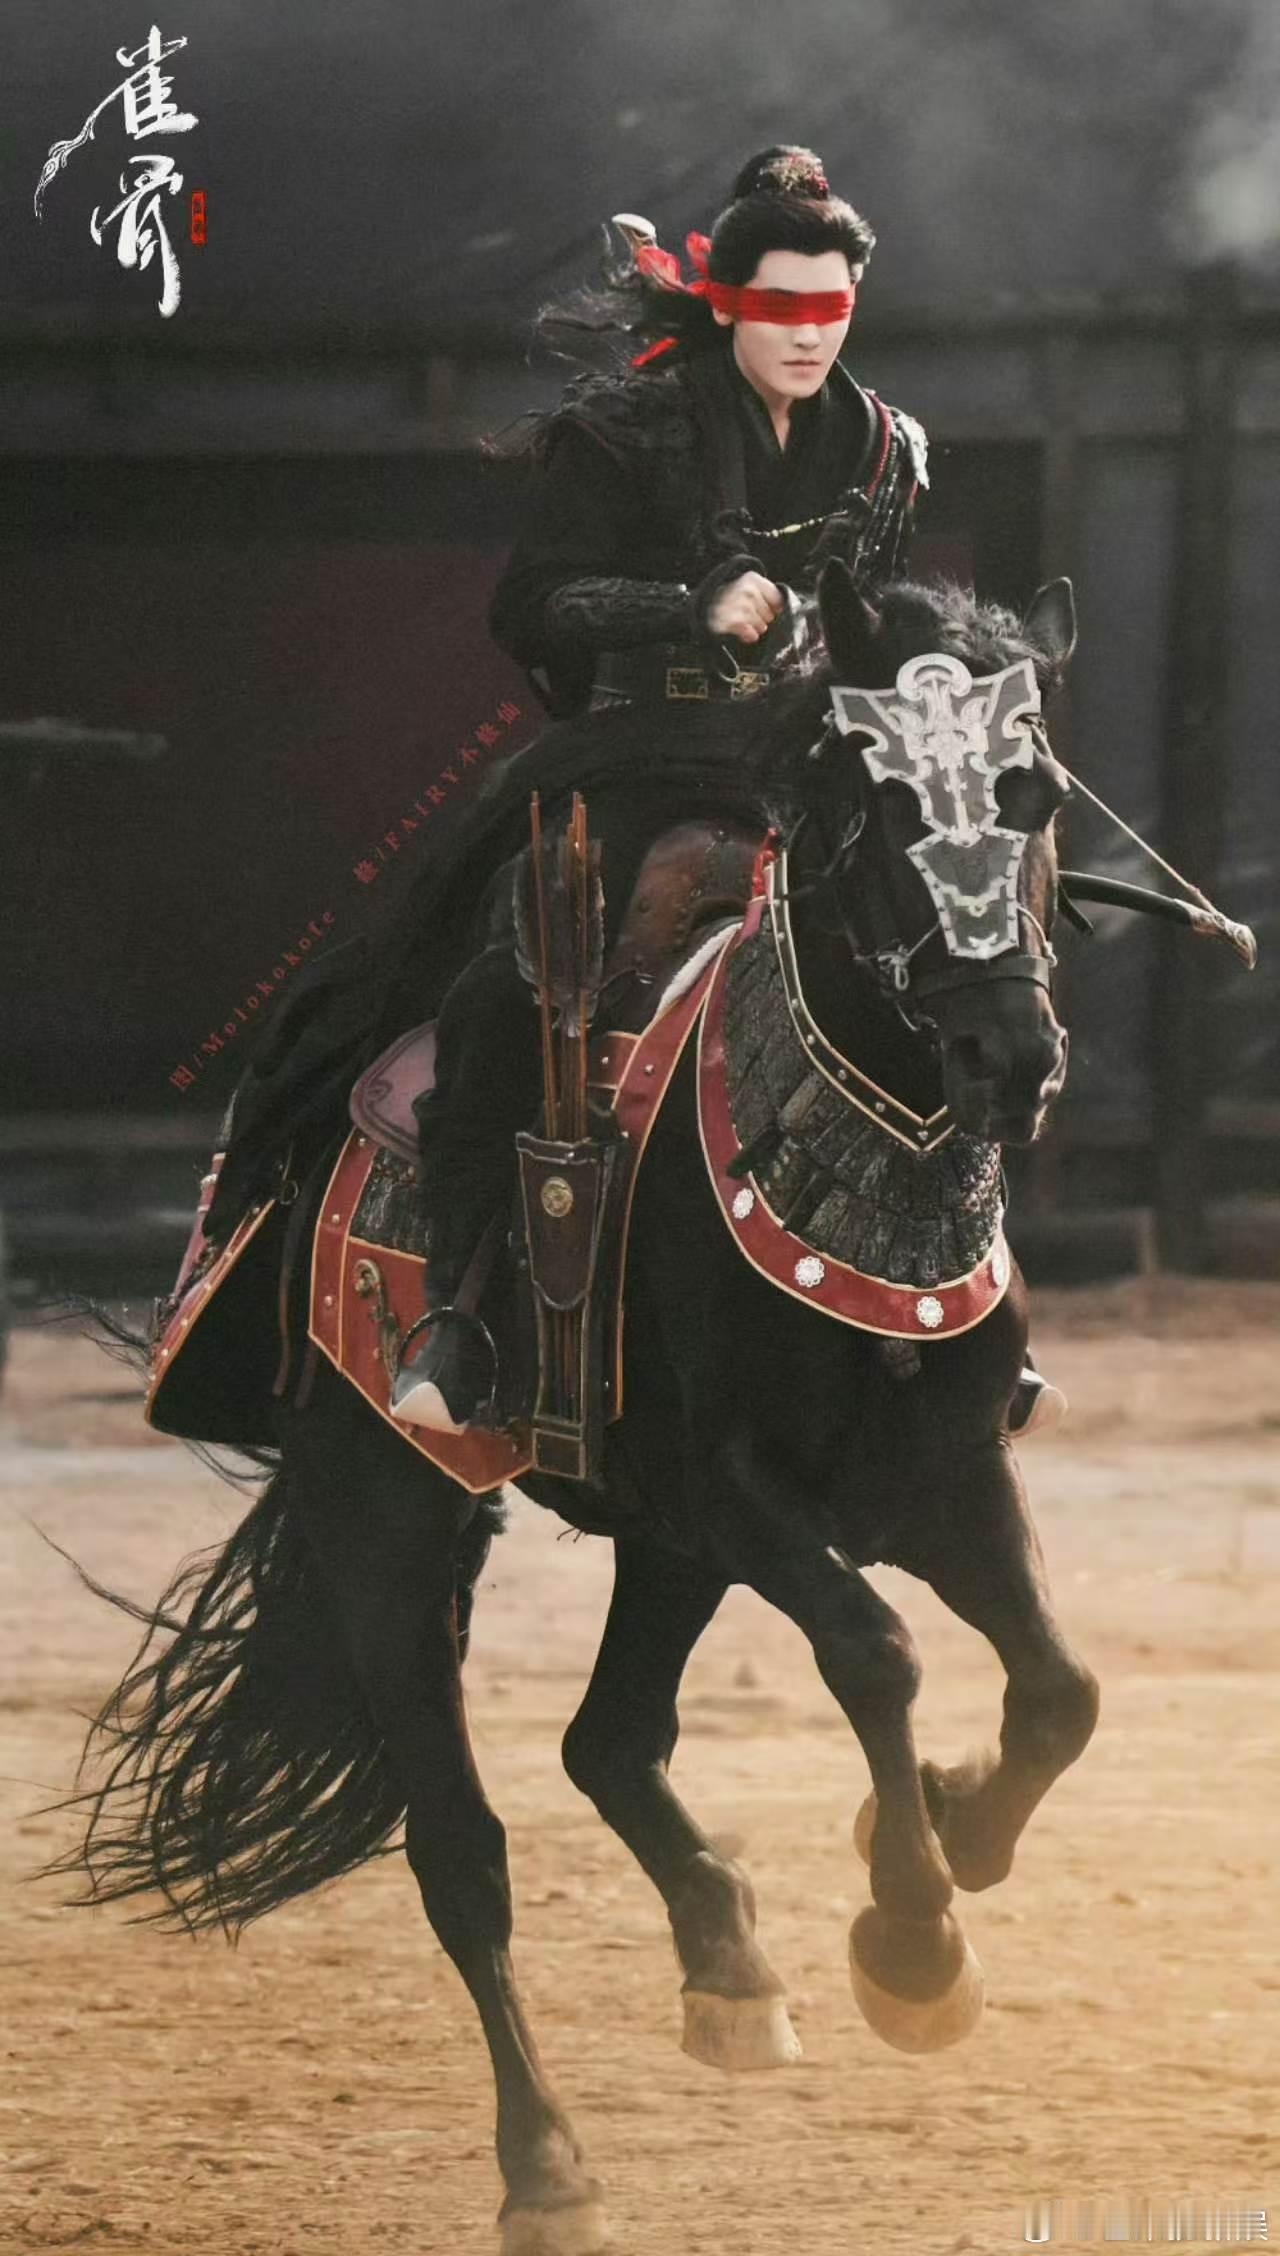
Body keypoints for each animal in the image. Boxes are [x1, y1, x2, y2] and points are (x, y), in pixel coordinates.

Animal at [60, 559, 1099, 2256]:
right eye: (874, 804)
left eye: (1039, 793)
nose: (1008, 1052)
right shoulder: (734, 1492)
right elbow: (874, 1652)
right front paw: (914, 1937)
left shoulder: (936, 1475)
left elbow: (1061, 1688)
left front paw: (944, 1833)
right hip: (391, 1516)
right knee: (464, 1852)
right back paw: (546, 2163)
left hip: (656, 1551)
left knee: (607, 1743)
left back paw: (731, 1967)